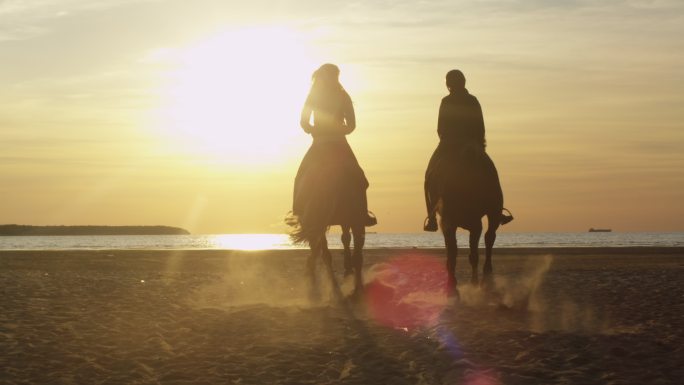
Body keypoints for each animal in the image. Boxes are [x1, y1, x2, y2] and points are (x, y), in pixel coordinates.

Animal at [432, 146, 512, 296]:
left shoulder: (472, 224)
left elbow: (470, 253)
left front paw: (469, 284)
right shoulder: (451, 223)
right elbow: (454, 251)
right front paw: (453, 285)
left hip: (489, 214)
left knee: (488, 238)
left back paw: (485, 280)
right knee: (488, 238)